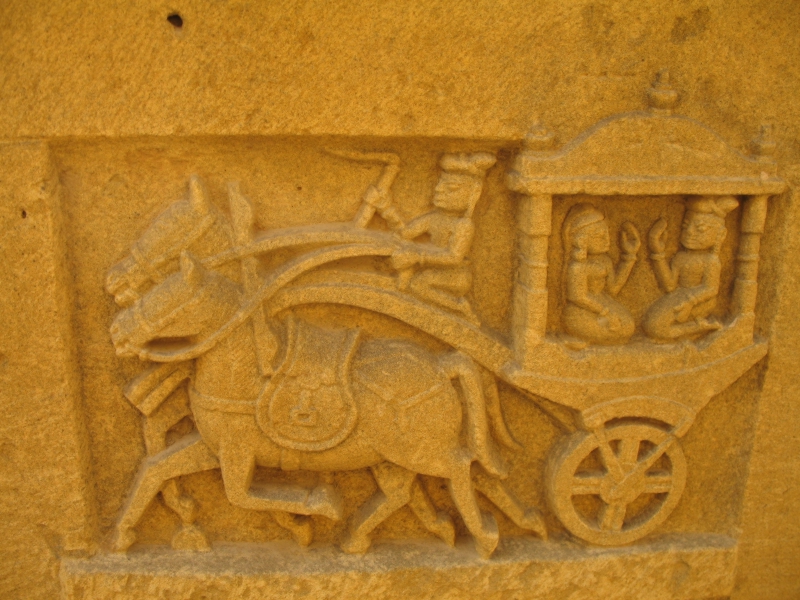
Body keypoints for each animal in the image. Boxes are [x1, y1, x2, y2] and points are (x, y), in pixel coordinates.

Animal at [106, 250, 544, 556]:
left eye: (166, 300)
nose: (117, 331)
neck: (246, 376)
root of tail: (442, 363)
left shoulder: (236, 451)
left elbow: (240, 495)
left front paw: (318, 507)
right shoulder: (214, 447)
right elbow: (155, 469)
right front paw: (123, 536)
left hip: (422, 450)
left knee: (459, 468)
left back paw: (486, 537)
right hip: (390, 455)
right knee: (408, 489)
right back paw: (360, 538)